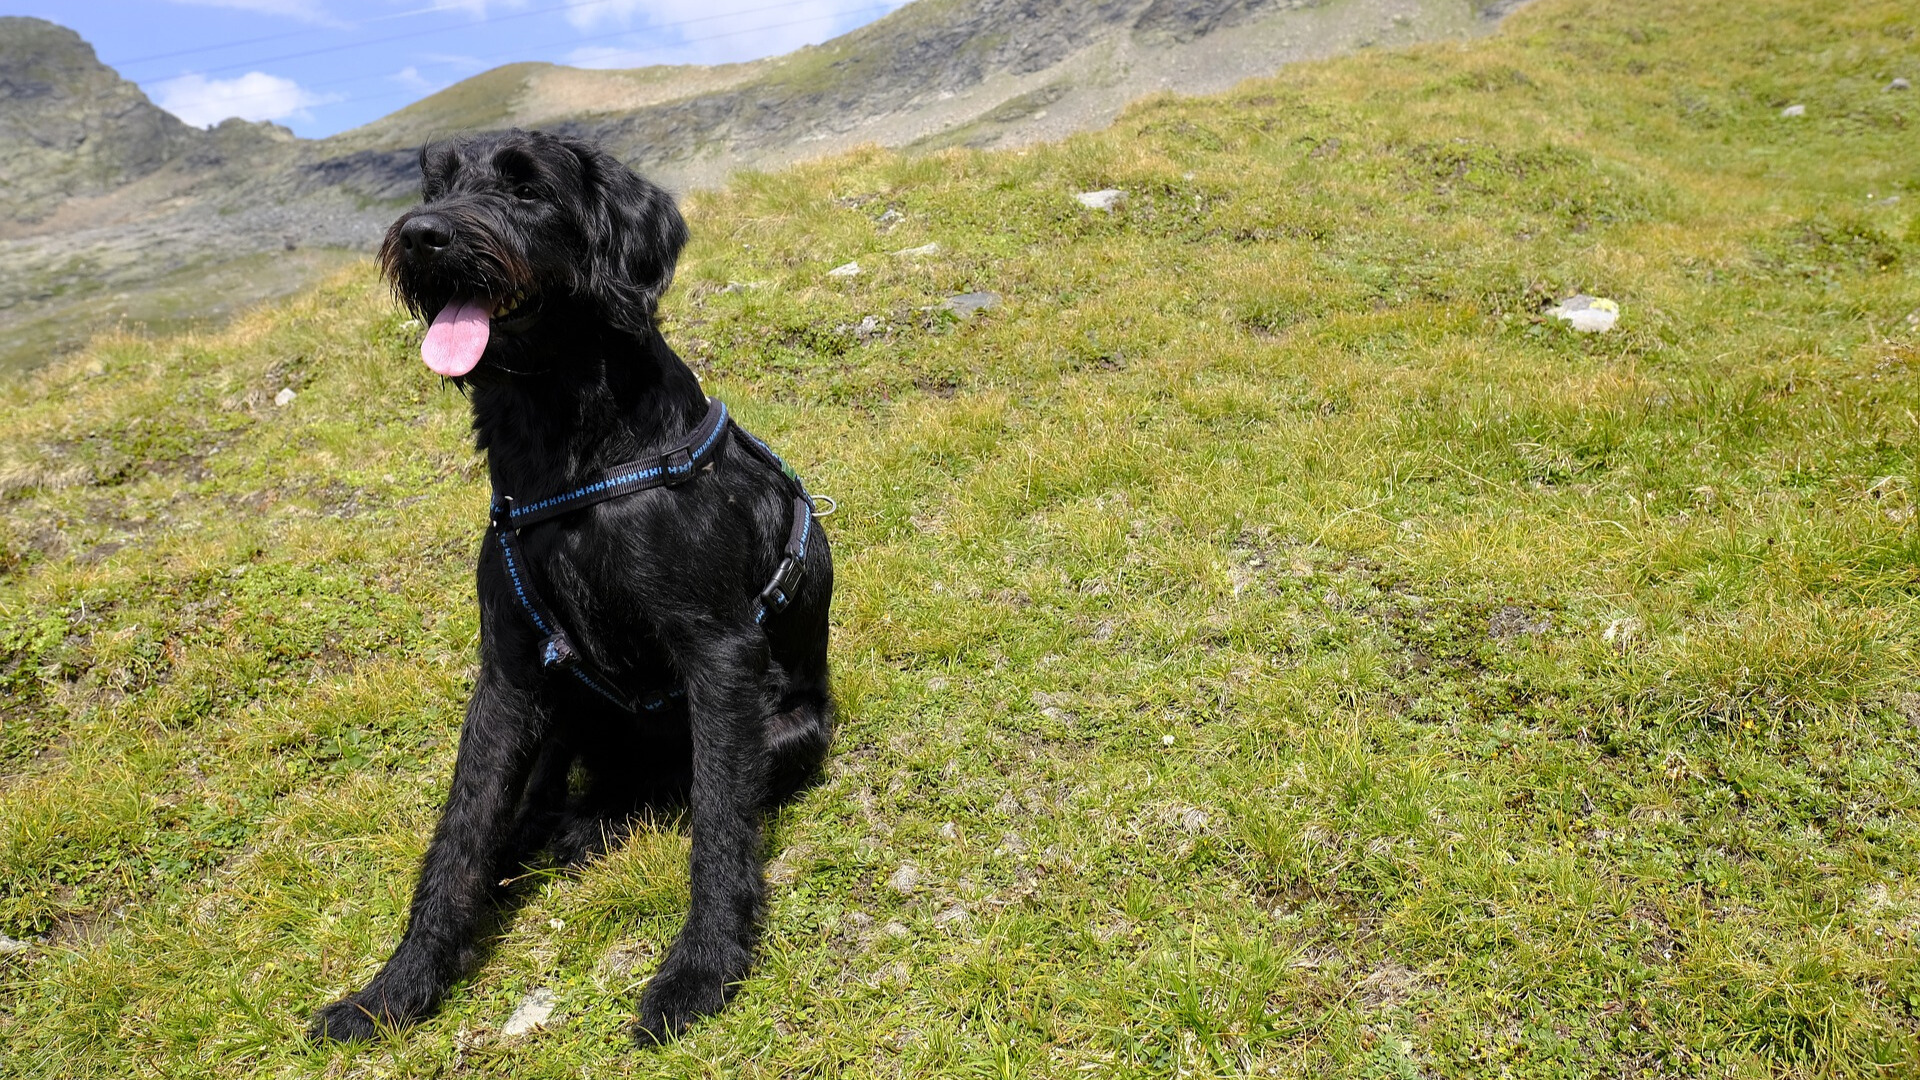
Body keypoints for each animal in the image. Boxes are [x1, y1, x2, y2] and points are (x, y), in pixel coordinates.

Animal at [307, 125, 833, 1045]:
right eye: (436, 185)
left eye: (527, 190)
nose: (424, 235)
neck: (564, 451)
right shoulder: (510, 673)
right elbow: (461, 833)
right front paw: (395, 989)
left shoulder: (719, 652)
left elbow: (719, 821)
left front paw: (700, 971)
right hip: (562, 715)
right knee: (535, 811)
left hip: (789, 729)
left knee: (671, 792)